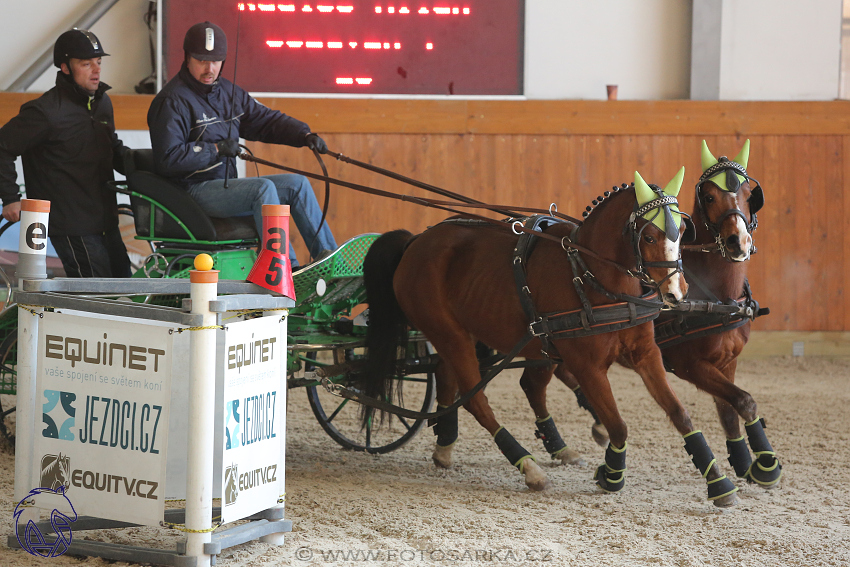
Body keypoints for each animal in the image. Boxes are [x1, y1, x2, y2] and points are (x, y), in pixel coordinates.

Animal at [362, 169, 740, 506]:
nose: (676, 293)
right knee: (477, 401)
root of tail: (415, 242)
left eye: (682, 232)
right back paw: (529, 468)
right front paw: (611, 475)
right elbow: (618, 426)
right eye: (648, 237)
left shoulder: (646, 354)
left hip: (465, 334)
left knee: (449, 377)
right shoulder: (588, 366)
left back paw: (445, 445)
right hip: (449, 333)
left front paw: (718, 482)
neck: (592, 276)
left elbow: (680, 414)